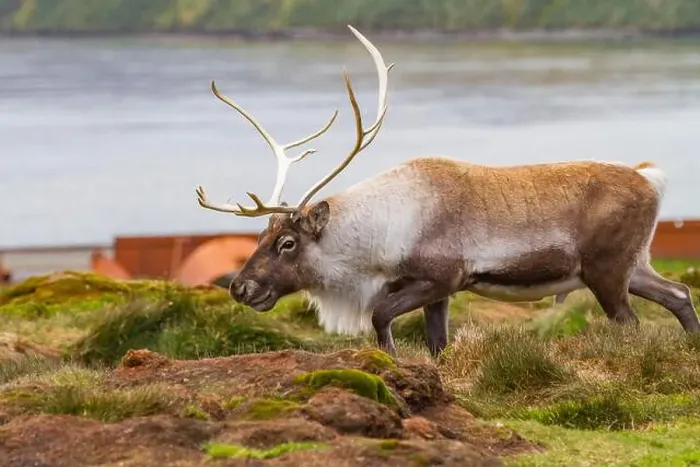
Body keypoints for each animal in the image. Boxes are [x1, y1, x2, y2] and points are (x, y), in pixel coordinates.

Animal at [195, 25, 700, 358]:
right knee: (679, 293)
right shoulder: (438, 293)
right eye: (261, 236)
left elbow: (380, 316)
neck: (377, 239)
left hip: (606, 270)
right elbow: (437, 345)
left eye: (287, 242)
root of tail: (650, 179)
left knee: (632, 323)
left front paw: (392, 363)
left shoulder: (441, 278)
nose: (240, 286)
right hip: (632, 264)